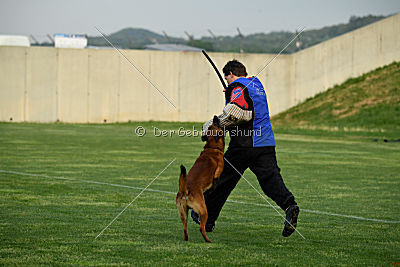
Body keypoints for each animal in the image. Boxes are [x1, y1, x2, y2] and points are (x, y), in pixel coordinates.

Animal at [176, 116, 225, 244]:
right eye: (216, 124)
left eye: (212, 125)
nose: (215, 117)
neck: (212, 147)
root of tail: (185, 191)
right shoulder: (218, 171)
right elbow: (216, 181)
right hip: (204, 211)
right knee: (201, 228)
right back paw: (208, 240)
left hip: (183, 213)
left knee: (185, 228)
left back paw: (187, 239)